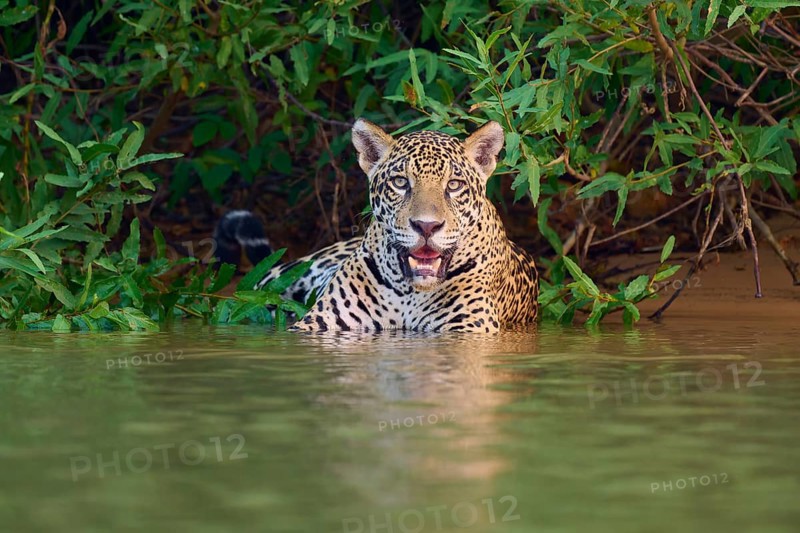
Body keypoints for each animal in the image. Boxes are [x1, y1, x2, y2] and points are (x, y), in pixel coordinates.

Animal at [216, 119, 539, 332]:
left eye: (454, 185)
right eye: (400, 182)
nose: (426, 226)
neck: (411, 292)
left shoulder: (469, 330)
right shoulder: (318, 324)